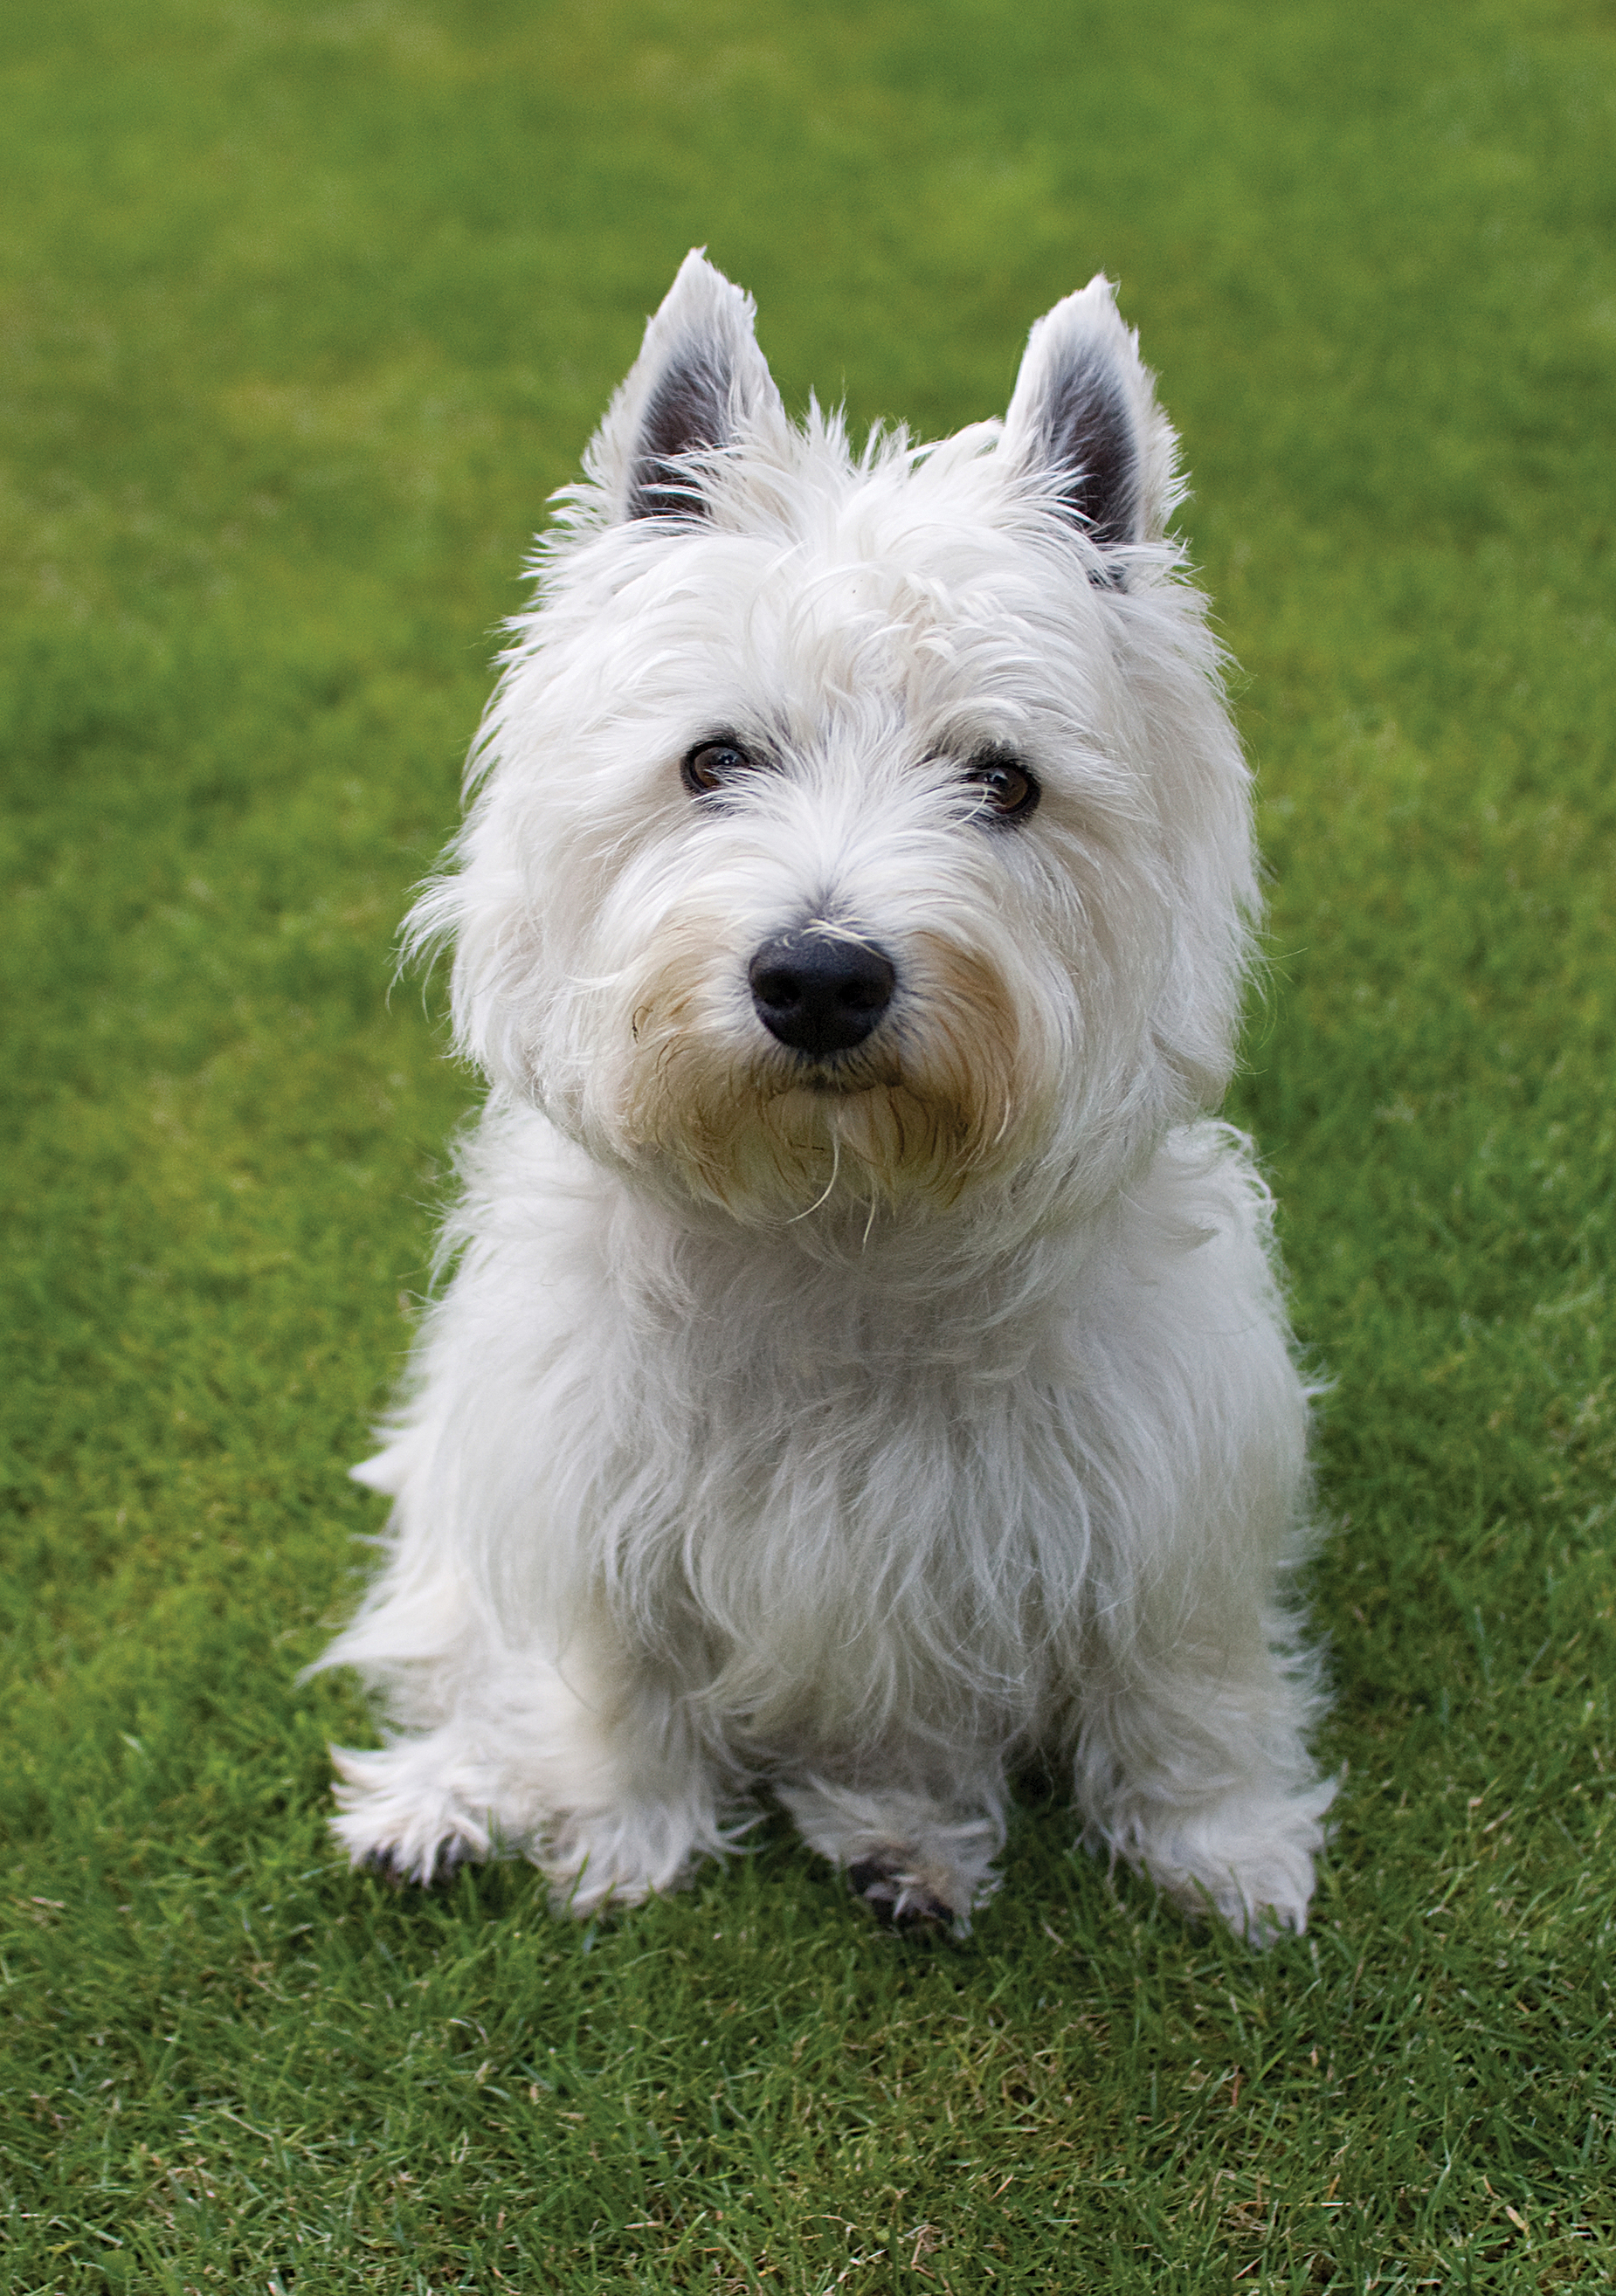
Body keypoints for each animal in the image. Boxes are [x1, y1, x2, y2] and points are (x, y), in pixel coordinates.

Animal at [312, 251, 1322, 1937]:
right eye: (714, 758)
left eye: (1003, 779)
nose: (821, 978)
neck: (837, 1216)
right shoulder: (589, 1483)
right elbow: (604, 1669)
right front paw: (621, 1837)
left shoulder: (1166, 1479)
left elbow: (1183, 1675)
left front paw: (1225, 1847)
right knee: (464, 1645)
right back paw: (438, 1805)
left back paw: (902, 1842)